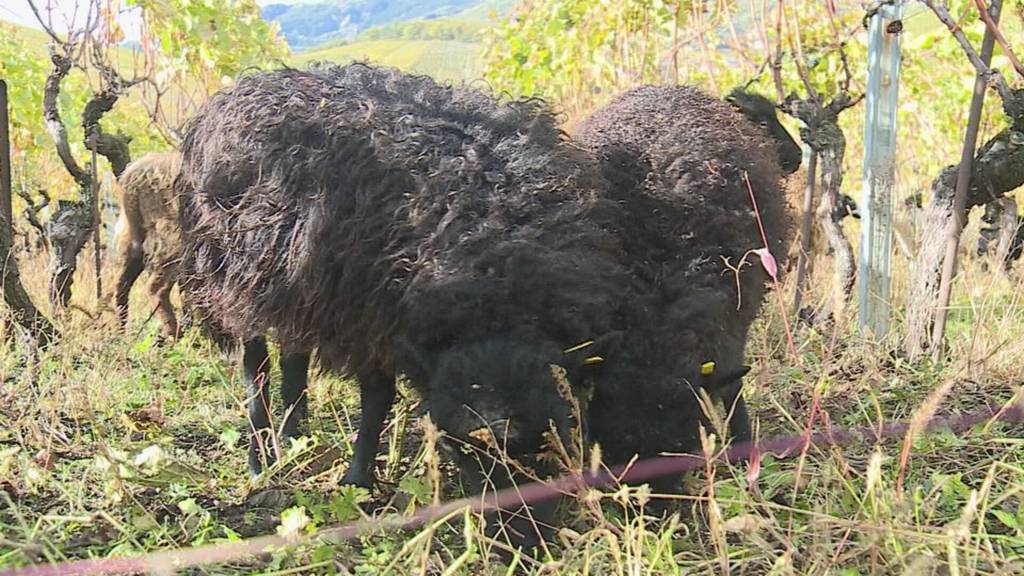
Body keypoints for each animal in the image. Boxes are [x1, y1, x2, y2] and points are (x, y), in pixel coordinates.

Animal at [179, 61, 634, 541]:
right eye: (459, 448)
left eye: (560, 434)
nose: (522, 538)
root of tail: (253, 81)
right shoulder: (368, 315)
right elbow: (377, 397)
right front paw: (358, 483)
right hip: (232, 279)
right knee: (256, 367)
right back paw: (261, 455)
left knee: (293, 354)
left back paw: (293, 432)